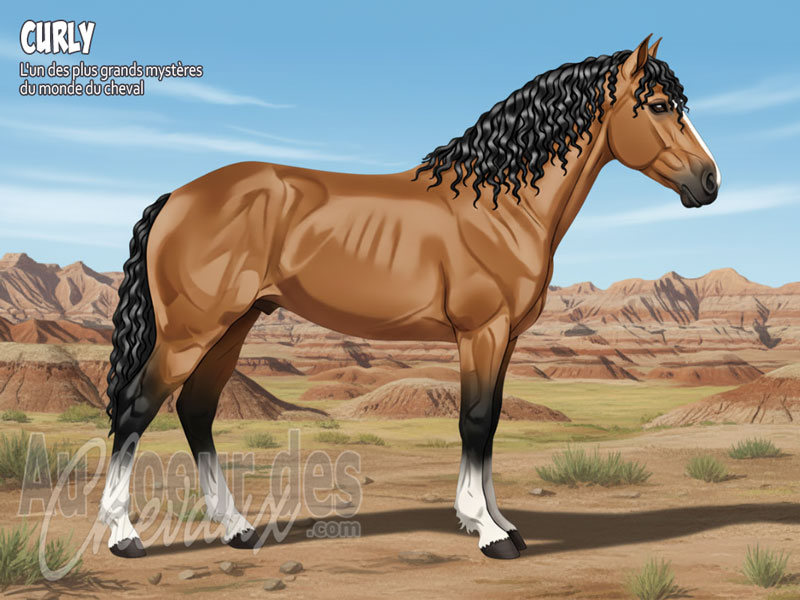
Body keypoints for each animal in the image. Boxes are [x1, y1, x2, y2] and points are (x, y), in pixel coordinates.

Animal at [99, 35, 719, 560]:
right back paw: (125, 536)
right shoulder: (481, 332)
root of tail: (177, 197)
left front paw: (499, 521)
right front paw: (489, 532)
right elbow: (475, 422)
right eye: (659, 104)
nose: (709, 182)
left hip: (234, 326)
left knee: (196, 410)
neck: (499, 206)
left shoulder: (506, 339)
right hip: (190, 330)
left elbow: (492, 422)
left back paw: (237, 529)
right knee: (137, 407)